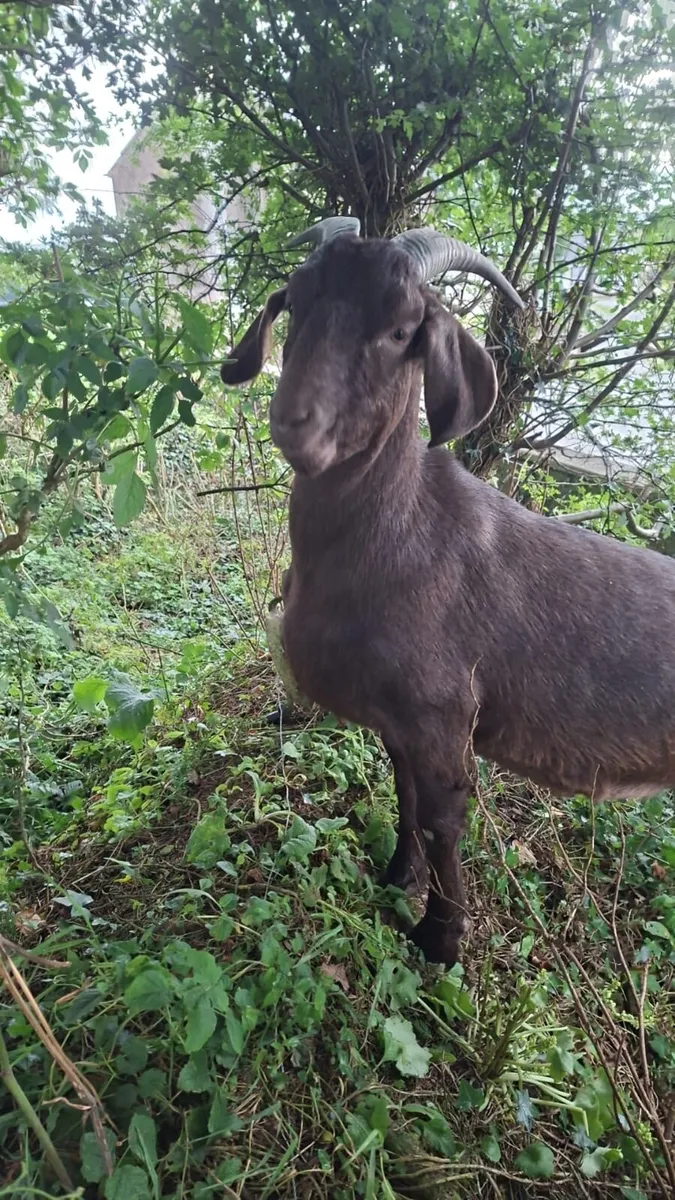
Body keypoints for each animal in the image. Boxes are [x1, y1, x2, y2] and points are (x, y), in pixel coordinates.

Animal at [222, 219, 675, 967]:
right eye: (295, 301)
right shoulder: (396, 719)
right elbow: (402, 793)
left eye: (403, 329)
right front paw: (396, 876)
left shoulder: (442, 714)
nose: (294, 423)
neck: (401, 533)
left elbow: (442, 820)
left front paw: (439, 937)